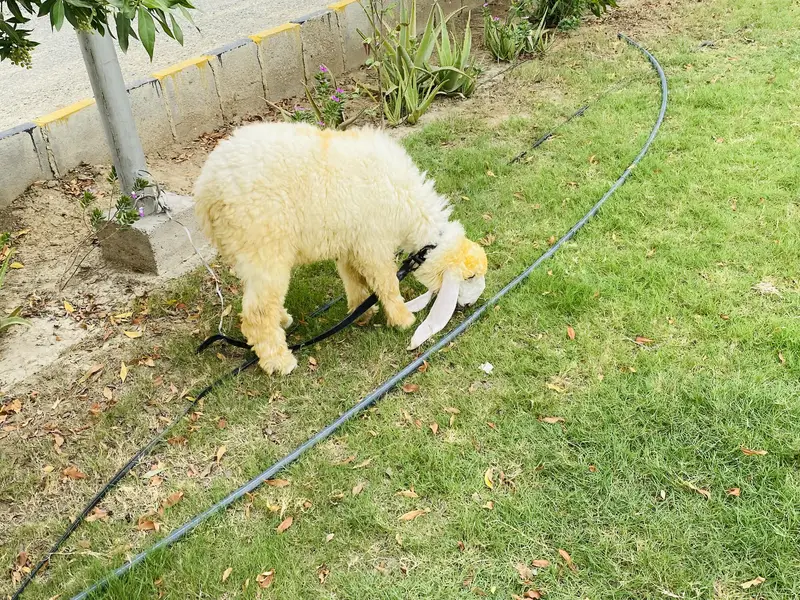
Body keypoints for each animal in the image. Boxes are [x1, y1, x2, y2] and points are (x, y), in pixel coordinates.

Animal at [194, 122, 487, 375]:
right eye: (469, 277)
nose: (470, 305)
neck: (409, 207)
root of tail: (206, 191)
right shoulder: (373, 243)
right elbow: (387, 282)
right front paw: (402, 319)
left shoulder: (352, 243)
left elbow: (353, 279)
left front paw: (362, 312)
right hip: (264, 250)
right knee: (256, 313)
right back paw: (279, 361)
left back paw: (283, 321)